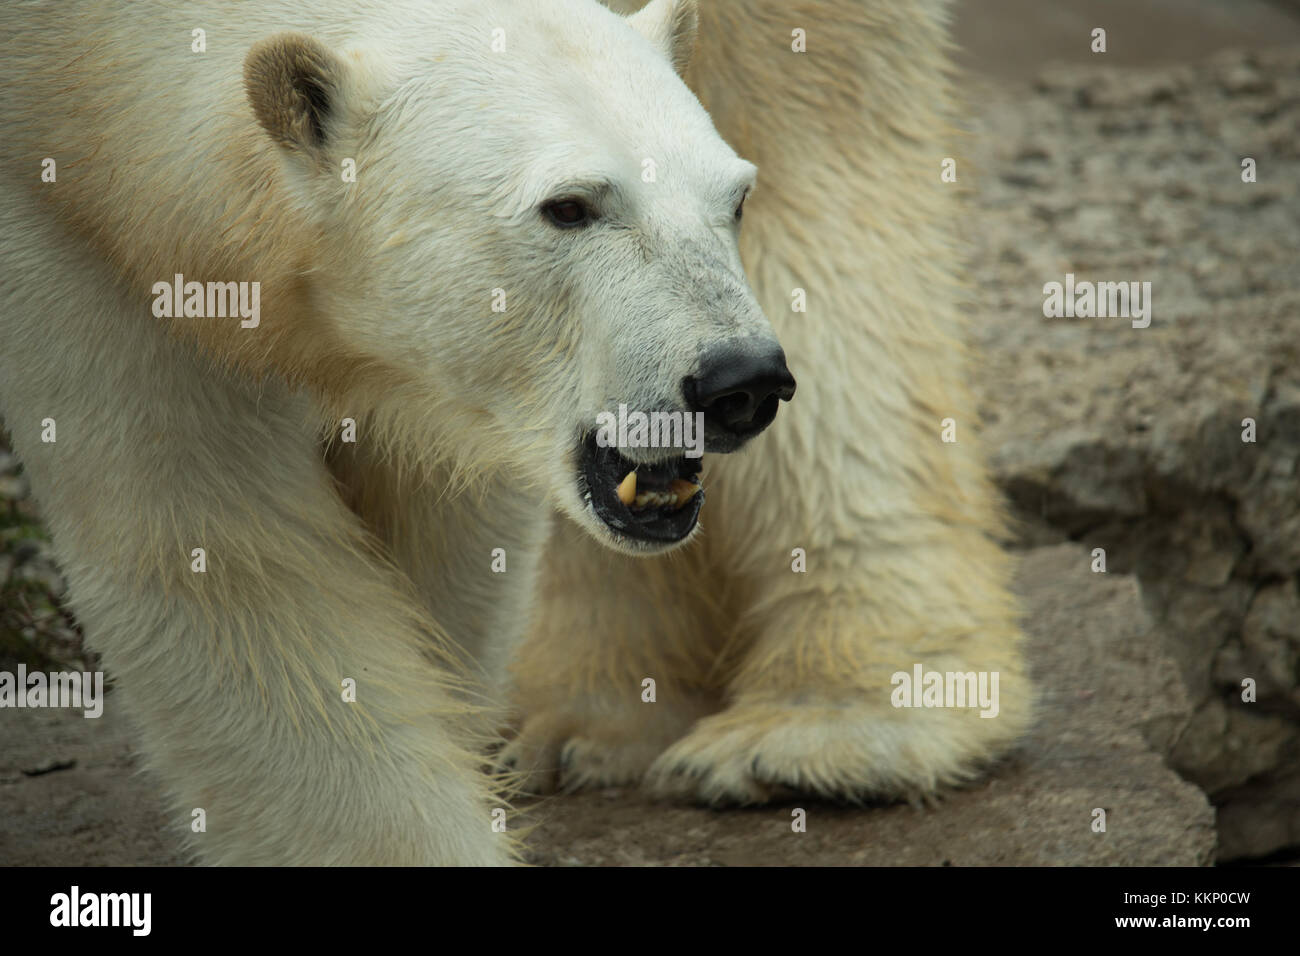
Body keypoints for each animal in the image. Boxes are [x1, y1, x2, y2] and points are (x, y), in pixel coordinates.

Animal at [0, 0, 790, 868]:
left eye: (736, 198)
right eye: (570, 206)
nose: (741, 380)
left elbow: (444, 544)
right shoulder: (69, 236)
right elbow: (224, 559)